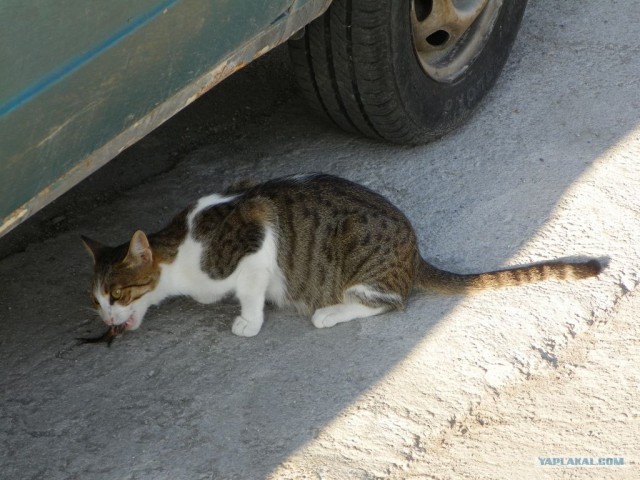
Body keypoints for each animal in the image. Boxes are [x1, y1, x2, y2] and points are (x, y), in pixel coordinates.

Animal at [82, 173, 604, 338]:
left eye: (117, 294)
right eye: (96, 299)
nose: (106, 318)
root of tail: (415, 253)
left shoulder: (254, 244)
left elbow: (251, 291)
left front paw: (248, 321)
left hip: (363, 268)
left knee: (390, 302)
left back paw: (329, 313)